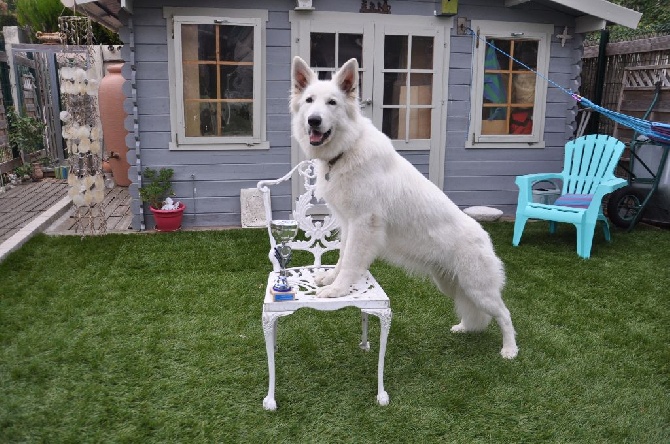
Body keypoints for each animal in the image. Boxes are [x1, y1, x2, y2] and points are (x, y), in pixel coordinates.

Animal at [290, 56, 520, 360]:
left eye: (332, 103)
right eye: (309, 100)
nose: (313, 121)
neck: (347, 148)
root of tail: (485, 238)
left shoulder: (363, 224)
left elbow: (351, 261)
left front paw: (338, 290)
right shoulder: (349, 224)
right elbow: (342, 257)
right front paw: (331, 279)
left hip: (478, 288)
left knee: (505, 314)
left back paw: (510, 349)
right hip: (453, 286)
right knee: (476, 312)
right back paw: (463, 327)